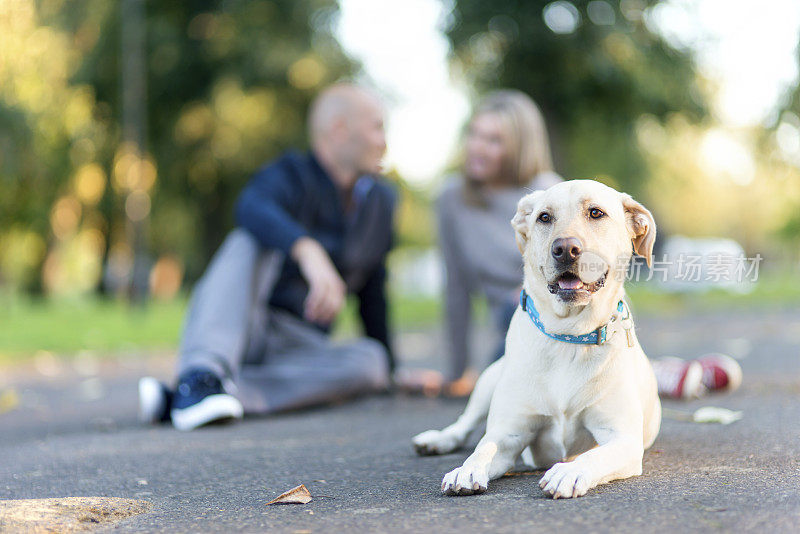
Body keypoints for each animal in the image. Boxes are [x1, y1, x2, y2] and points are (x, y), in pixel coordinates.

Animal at [416, 181, 660, 502]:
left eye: (596, 213)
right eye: (544, 217)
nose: (565, 249)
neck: (568, 335)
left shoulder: (623, 439)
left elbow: (594, 456)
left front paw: (569, 472)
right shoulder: (509, 432)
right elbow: (484, 448)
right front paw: (466, 470)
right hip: (488, 379)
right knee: (465, 423)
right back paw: (438, 439)